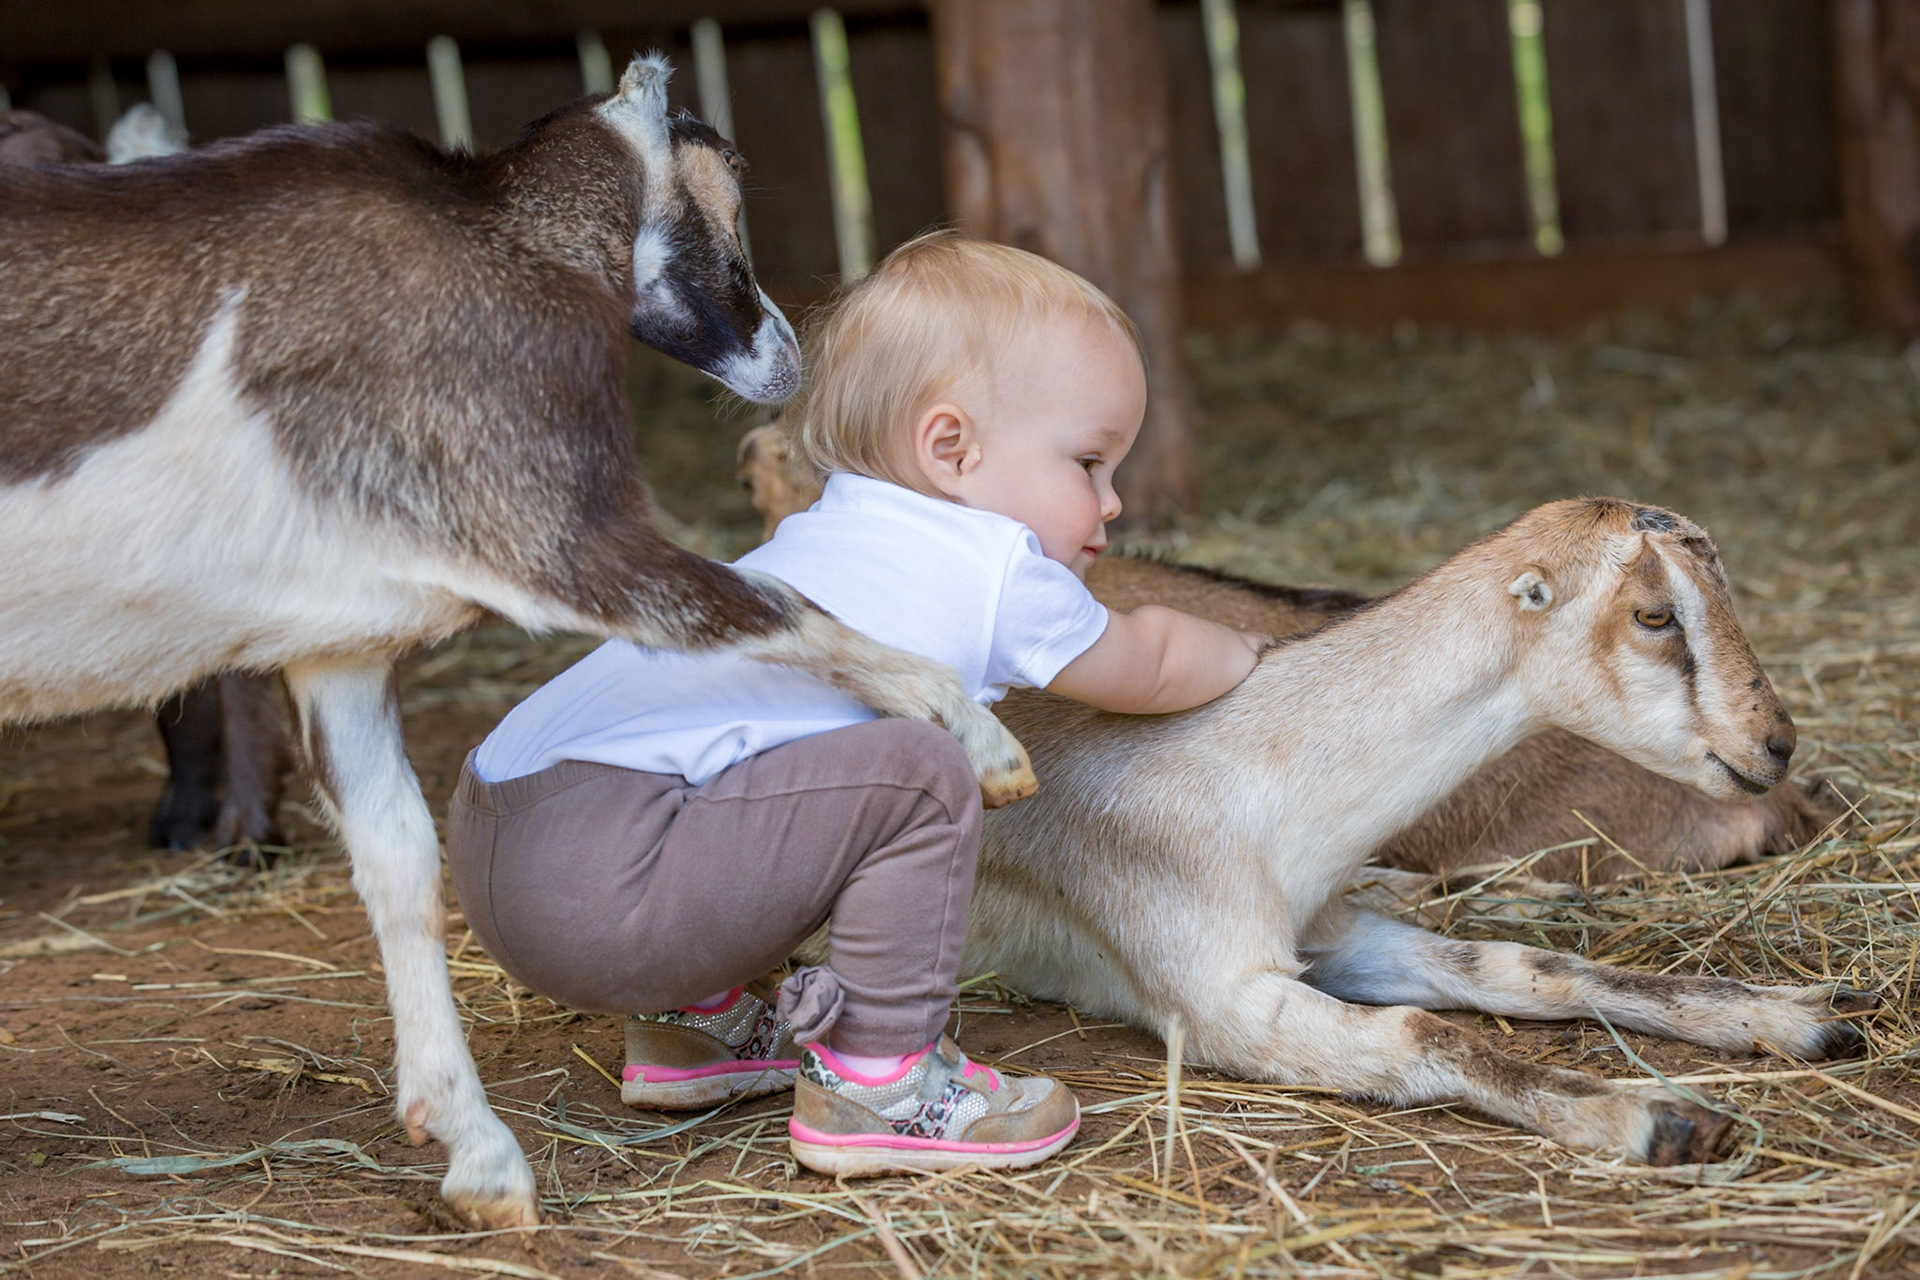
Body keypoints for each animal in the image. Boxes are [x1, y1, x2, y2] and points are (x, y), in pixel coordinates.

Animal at [0, 57, 1034, 1228]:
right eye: (727, 204)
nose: (786, 358)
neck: (490, 234)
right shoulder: (543, 517)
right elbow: (769, 603)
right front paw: (981, 740)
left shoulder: (339, 637)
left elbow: (401, 858)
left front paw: (474, 1151)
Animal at [976, 498, 1876, 1164]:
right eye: (1656, 614)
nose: (1775, 743)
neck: (1242, 775)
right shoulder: (1217, 996)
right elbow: (1419, 1029)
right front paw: (1660, 1119)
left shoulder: (1329, 931)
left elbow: (1522, 967)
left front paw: (1806, 1013)